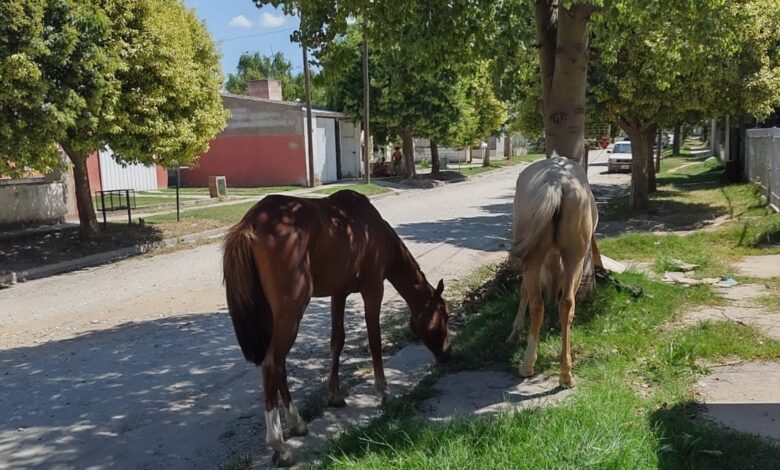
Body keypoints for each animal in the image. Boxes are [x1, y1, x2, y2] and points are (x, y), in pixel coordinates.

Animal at [219, 188, 450, 466]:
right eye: (445, 315)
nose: (447, 352)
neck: (372, 228)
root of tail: (250, 223)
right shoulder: (373, 289)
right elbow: (374, 340)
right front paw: (384, 392)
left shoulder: (339, 293)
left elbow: (337, 341)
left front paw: (336, 395)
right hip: (292, 309)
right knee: (272, 364)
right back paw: (280, 447)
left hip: (271, 315)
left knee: (278, 364)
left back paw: (297, 423)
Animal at [506, 156, 596, 388]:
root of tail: (556, 182)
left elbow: (525, 290)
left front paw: (515, 331)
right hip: (575, 255)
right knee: (567, 303)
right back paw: (565, 373)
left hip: (534, 256)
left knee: (538, 304)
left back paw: (528, 366)